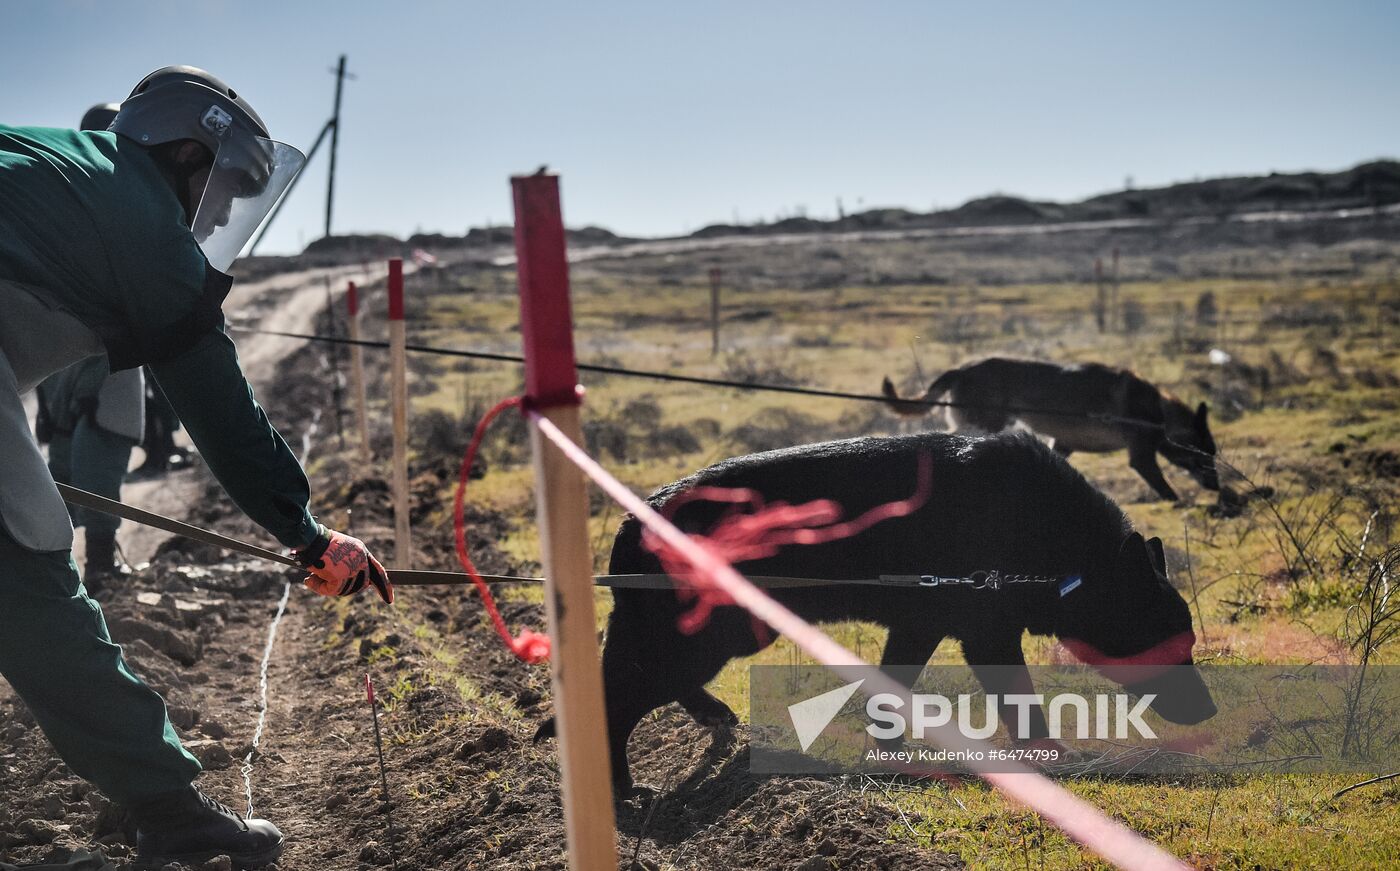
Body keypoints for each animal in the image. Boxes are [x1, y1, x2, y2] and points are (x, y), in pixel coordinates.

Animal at [534, 434, 1215, 795]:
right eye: (1172, 643)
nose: (1211, 711)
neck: (1061, 552)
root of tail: (633, 519)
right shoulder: (987, 636)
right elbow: (1021, 704)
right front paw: (1053, 760)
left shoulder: (921, 628)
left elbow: (894, 690)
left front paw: (885, 753)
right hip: (703, 640)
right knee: (617, 704)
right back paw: (622, 789)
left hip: (720, 635)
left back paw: (711, 719)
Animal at [884, 357, 1215, 504]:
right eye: (1206, 454)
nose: (1217, 487)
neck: (1161, 412)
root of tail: (962, 369)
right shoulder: (1142, 458)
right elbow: (1168, 491)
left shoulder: (1063, 445)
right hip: (983, 426)